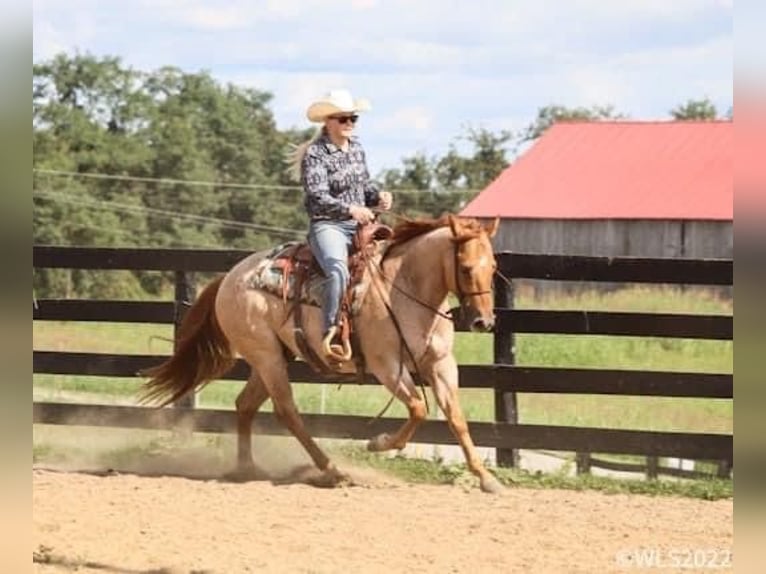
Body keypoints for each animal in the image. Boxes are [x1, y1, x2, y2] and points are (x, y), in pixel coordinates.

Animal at [142, 214, 508, 492]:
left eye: (492, 266)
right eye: (465, 267)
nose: (484, 321)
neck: (403, 287)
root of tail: (231, 278)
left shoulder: (441, 365)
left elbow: (456, 418)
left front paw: (485, 477)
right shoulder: (387, 365)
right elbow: (418, 408)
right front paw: (378, 443)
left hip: (271, 357)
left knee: (245, 405)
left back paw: (248, 468)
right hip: (267, 357)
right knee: (286, 411)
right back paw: (332, 470)